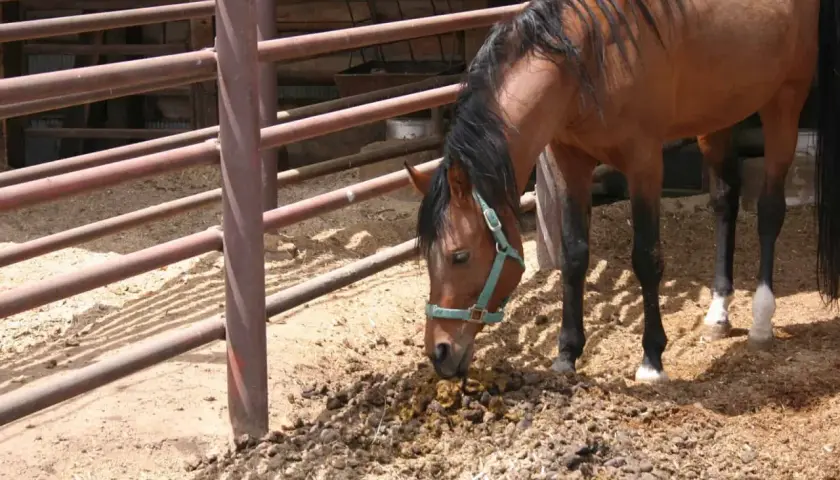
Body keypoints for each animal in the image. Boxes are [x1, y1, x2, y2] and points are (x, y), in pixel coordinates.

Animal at [403, 0, 840, 382]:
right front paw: (567, 353)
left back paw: (762, 321)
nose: (439, 352)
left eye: (459, 255)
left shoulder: (644, 161)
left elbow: (646, 257)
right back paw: (719, 313)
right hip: (717, 115)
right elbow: (574, 255)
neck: (588, 59)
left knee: (769, 211)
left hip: (784, 103)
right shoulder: (571, 161)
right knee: (725, 202)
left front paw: (652, 359)